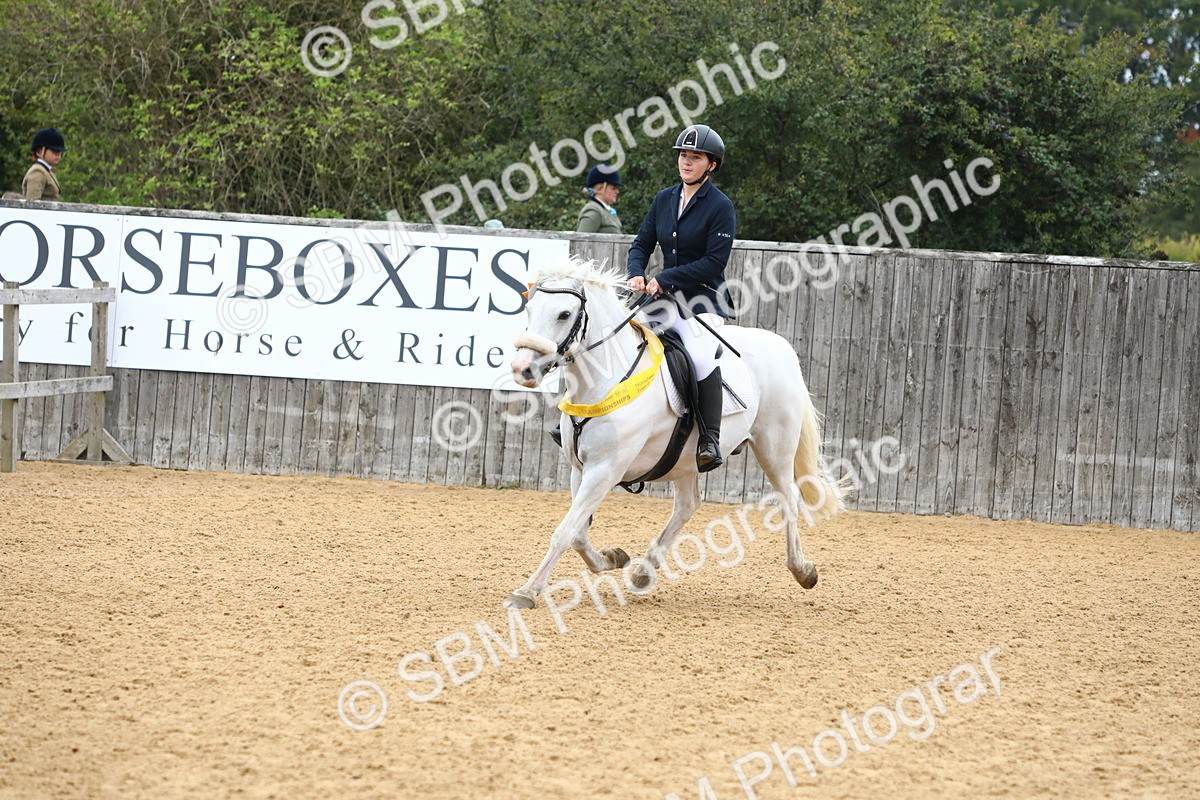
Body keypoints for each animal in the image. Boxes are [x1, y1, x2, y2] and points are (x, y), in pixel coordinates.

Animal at [504, 257, 844, 609]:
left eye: (564, 314)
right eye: (530, 309)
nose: (521, 369)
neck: (606, 380)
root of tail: (781, 347)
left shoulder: (605, 471)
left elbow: (565, 532)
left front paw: (526, 592)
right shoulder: (580, 469)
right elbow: (578, 535)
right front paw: (613, 558)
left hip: (774, 447)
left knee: (788, 498)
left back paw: (802, 570)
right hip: (685, 459)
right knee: (687, 505)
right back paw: (643, 571)